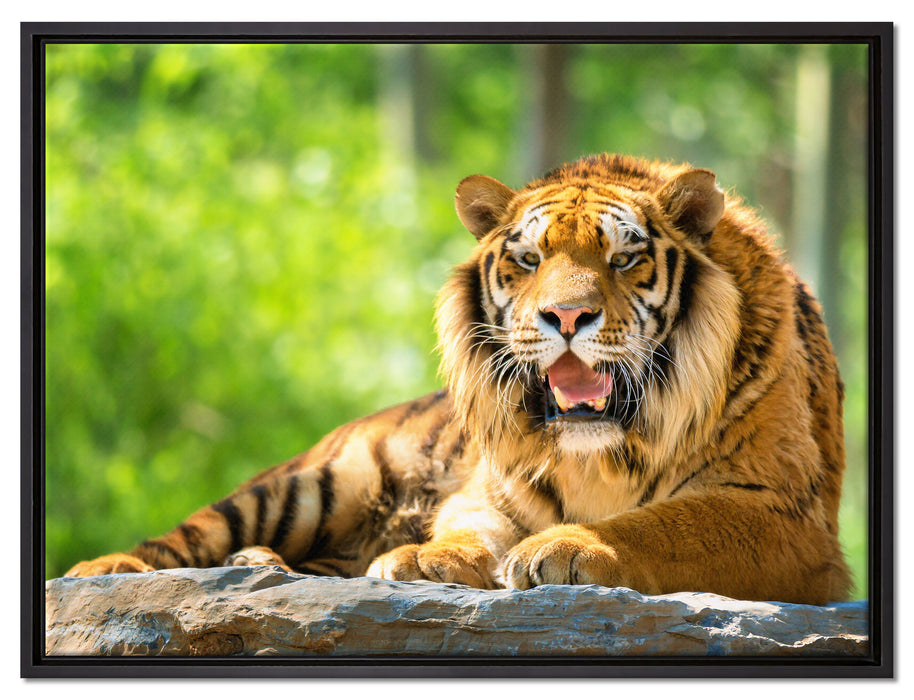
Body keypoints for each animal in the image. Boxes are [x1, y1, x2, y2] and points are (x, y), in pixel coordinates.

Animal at [64, 153, 851, 605]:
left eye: (624, 259)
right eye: (529, 260)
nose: (569, 315)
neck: (602, 451)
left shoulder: (782, 513)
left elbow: (663, 522)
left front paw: (569, 547)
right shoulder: (491, 488)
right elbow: (471, 527)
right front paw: (425, 557)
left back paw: (264, 566)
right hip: (313, 484)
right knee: (190, 533)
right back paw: (108, 569)